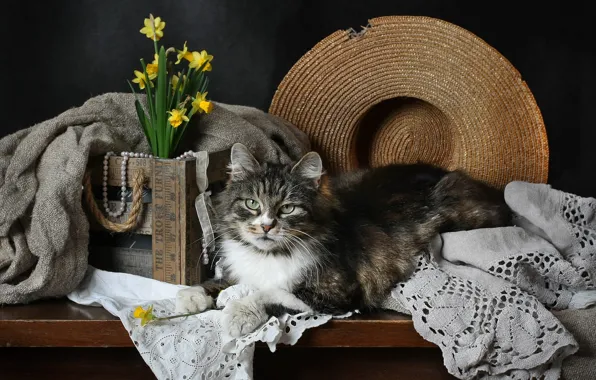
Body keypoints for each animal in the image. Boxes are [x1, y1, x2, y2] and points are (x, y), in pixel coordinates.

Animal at [175, 142, 510, 336]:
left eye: (288, 208)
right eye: (252, 204)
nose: (267, 227)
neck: (270, 255)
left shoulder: (333, 293)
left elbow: (269, 293)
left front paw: (237, 314)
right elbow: (220, 283)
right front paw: (191, 295)